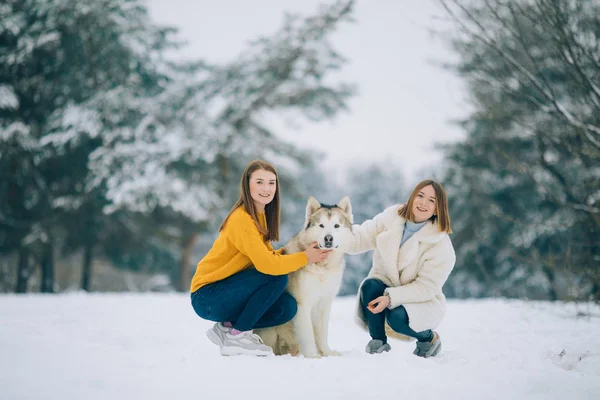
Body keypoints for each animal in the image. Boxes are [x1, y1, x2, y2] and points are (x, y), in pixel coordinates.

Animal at [255, 195, 354, 358]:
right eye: (321, 225)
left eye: (336, 226)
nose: (328, 238)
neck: (322, 267)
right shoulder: (302, 304)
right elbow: (308, 334)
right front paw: (313, 355)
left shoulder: (324, 304)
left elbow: (322, 333)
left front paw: (326, 352)